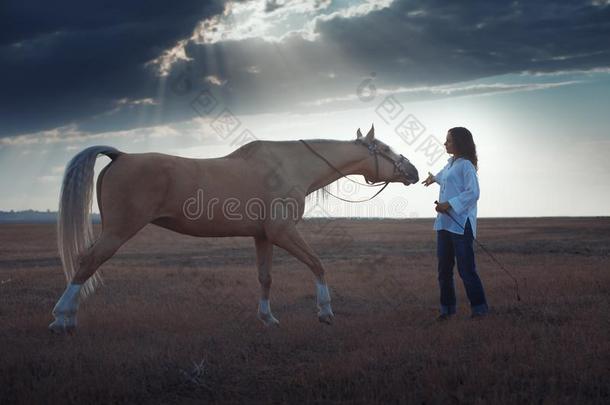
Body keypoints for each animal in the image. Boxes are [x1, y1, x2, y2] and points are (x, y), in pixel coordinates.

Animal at [48, 125, 418, 332]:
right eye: (385, 149)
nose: (413, 171)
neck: (289, 166)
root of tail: (120, 155)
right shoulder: (283, 232)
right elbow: (317, 264)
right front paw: (325, 312)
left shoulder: (263, 236)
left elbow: (265, 278)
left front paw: (267, 319)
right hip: (118, 232)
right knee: (86, 262)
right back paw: (62, 319)